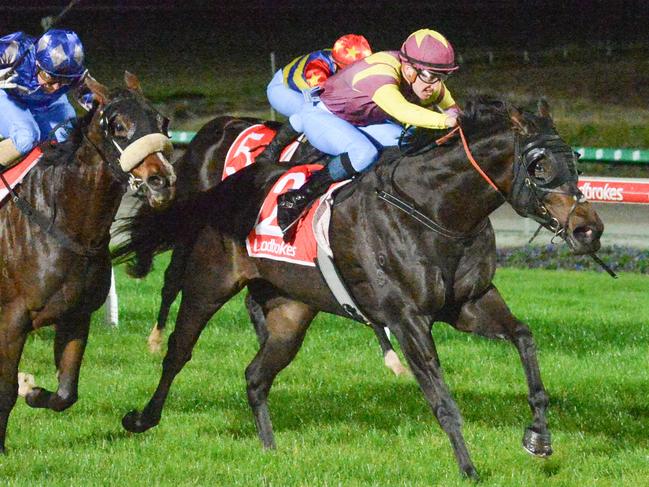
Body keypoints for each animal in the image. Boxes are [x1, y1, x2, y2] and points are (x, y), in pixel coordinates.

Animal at [0, 72, 176, 454]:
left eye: (162, 122)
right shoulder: (12, 320)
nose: (161, 181)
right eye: (118, 126)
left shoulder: (76, 315)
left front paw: (31, 388)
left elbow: (66, 394)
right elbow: (3, 391)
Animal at [120, 97, 604, 478]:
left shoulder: (470, 303)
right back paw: (142, 418)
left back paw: (271, 451)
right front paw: (469, 470)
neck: (435, 210)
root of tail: (233, 182)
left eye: (577, 162)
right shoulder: (408, 319)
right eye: (539, 166)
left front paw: (538, 435)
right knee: (179, 350)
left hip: (291, 311)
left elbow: (524, 338)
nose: (589, 229)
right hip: (209, 282)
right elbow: (442, 399)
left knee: (256, 376)